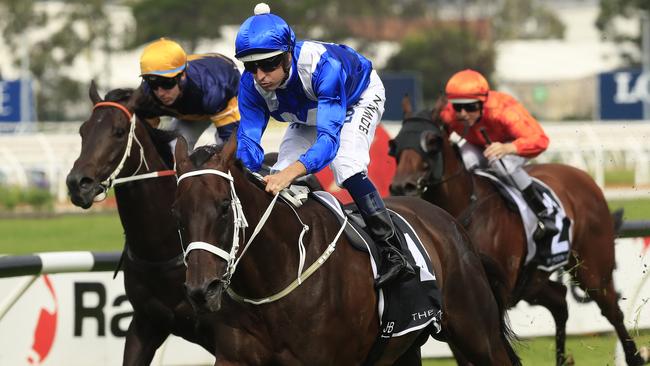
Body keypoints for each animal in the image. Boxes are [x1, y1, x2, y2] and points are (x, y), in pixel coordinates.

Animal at [170, 134, 520, 366]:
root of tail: (451, 223)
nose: (202, 290)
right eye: (178, 213)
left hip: (477, 334)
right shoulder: (236, 358)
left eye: (224, 207)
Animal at [388, 98, 644, 366]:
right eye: (395, 143)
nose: (402, 186)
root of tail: (585, 177)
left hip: (592, 268)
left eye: (432, 142)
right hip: (532, 281)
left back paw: (634, 356)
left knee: (612, 310)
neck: (465, 205)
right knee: (560, 299)